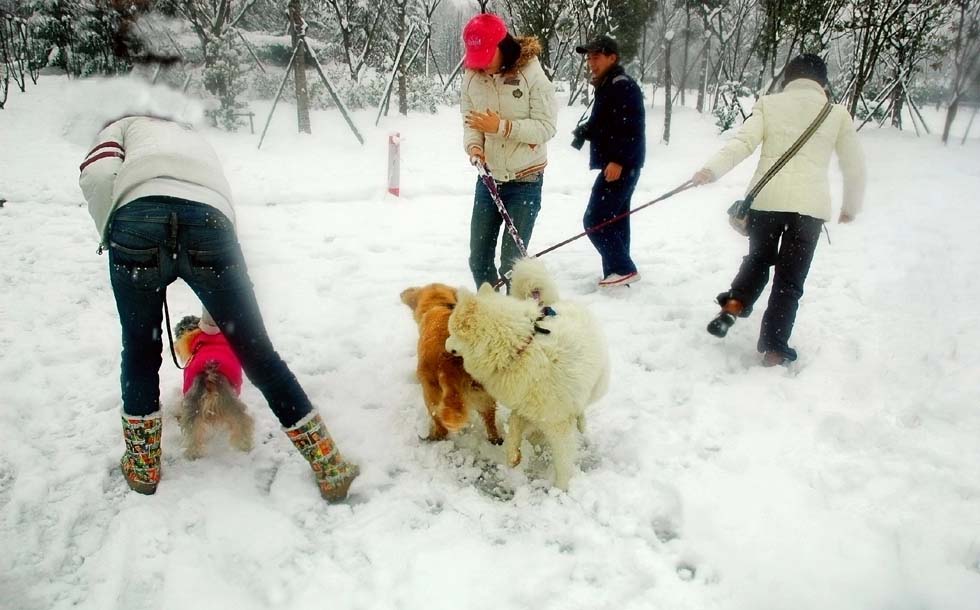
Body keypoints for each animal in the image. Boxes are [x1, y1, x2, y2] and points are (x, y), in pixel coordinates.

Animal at [174, 314, 255, 456]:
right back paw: (245, 445)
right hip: (228, 399)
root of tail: (209, 376)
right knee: (242, 420)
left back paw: (193, 453)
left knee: (192, 429)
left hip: (194, 403)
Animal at [400, 282, 506, 444]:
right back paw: (495, 439)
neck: (438, 305)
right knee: (490, 421)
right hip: (484, 395)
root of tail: (448, 366)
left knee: (441, 425)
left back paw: (433, 436)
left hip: (430, 396)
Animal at [442, 258, 604, 490]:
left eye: (452, 333)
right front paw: (512, 456)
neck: (520, 348)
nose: (445, 346)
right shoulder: (522, 404)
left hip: (597, 383)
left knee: (582, 406)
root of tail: (553, 303)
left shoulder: (558, 424)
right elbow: (514, 428)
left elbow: (563, 462)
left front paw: (560, 489)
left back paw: (580, 421)